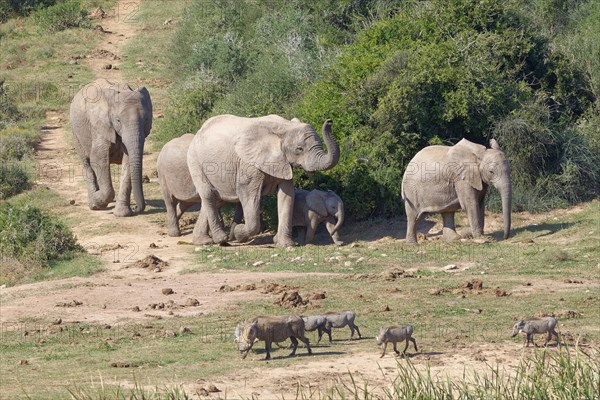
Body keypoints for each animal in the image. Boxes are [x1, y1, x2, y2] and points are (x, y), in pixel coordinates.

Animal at [69, 78, 152, 216]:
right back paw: (93, 203)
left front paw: (122, 214)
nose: (136, 208)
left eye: (146, 120)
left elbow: (128, 161)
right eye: (118, 120)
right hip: (75, 132)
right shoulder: (100, 125)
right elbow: (98, 159)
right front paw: (97, 200)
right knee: (87, 163)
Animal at [188, 115, 338, 247]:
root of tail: (198, 132)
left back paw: (203, 241)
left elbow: (287, 196)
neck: (284, 127)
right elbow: (248, 196)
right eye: (299, 149)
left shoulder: (283, 161)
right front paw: (238, 233)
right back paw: (222, 239)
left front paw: (286, 244)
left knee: (216, 199)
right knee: (209, 195)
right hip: (195, 161)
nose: (329, 121)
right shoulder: (248, 164)